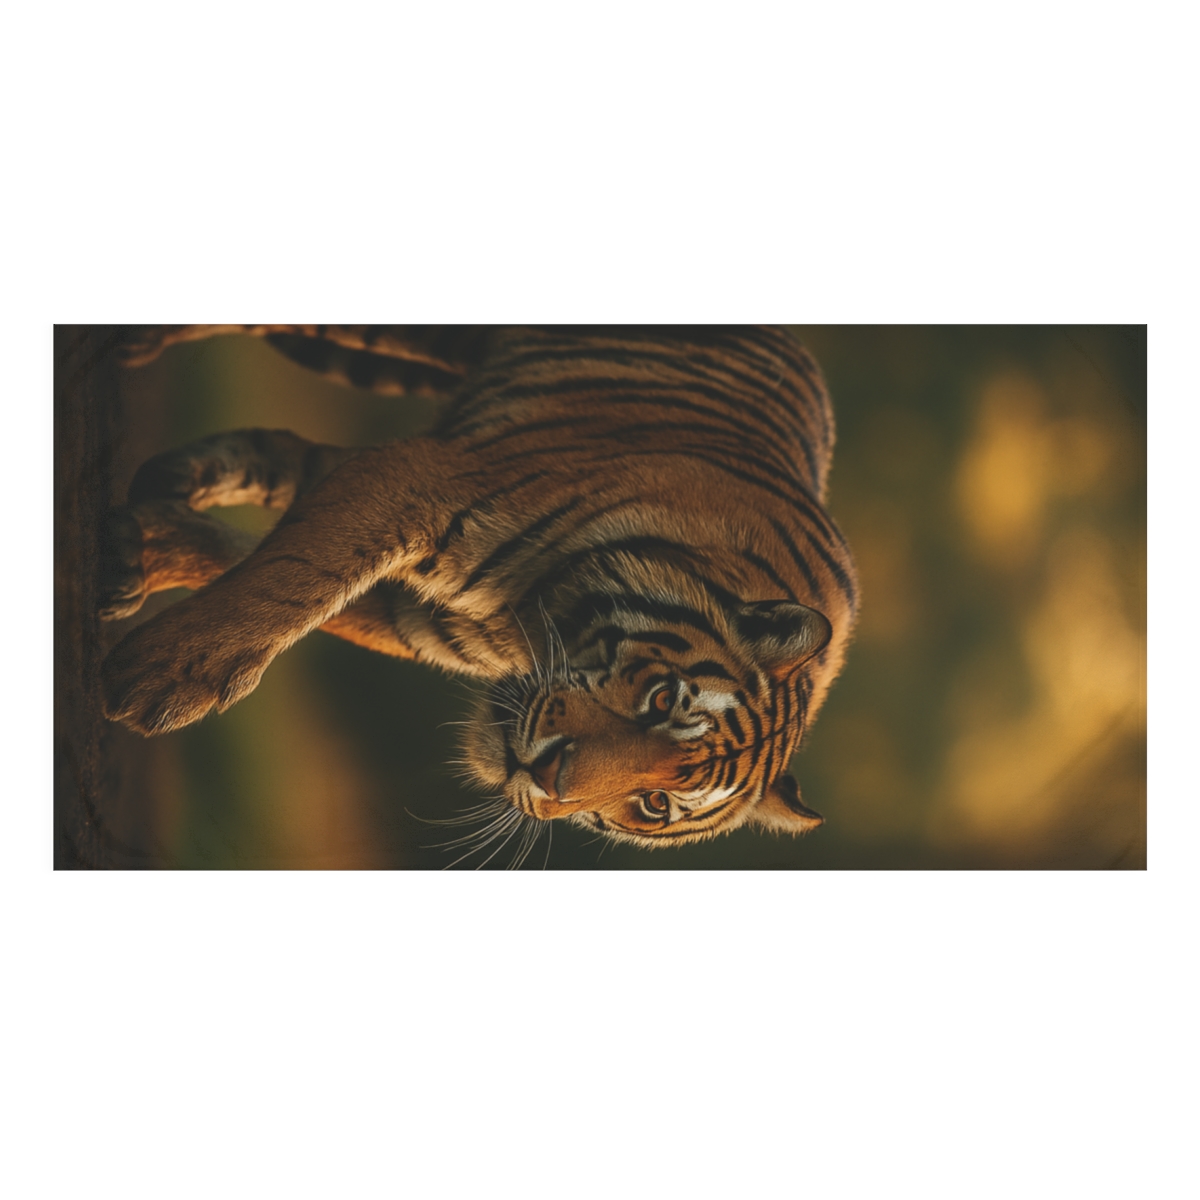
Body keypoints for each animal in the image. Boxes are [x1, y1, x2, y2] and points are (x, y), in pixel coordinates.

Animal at [100, 325, 859, 851]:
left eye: (655, 805)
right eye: (664, 699)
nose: (548, 779)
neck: (527, 622)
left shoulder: (409, 606)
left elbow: (289, 574)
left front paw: (149, 558)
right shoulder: (423, 478)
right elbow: (297, 577)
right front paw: (164, 678)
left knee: (281, 450)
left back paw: (148, 515)